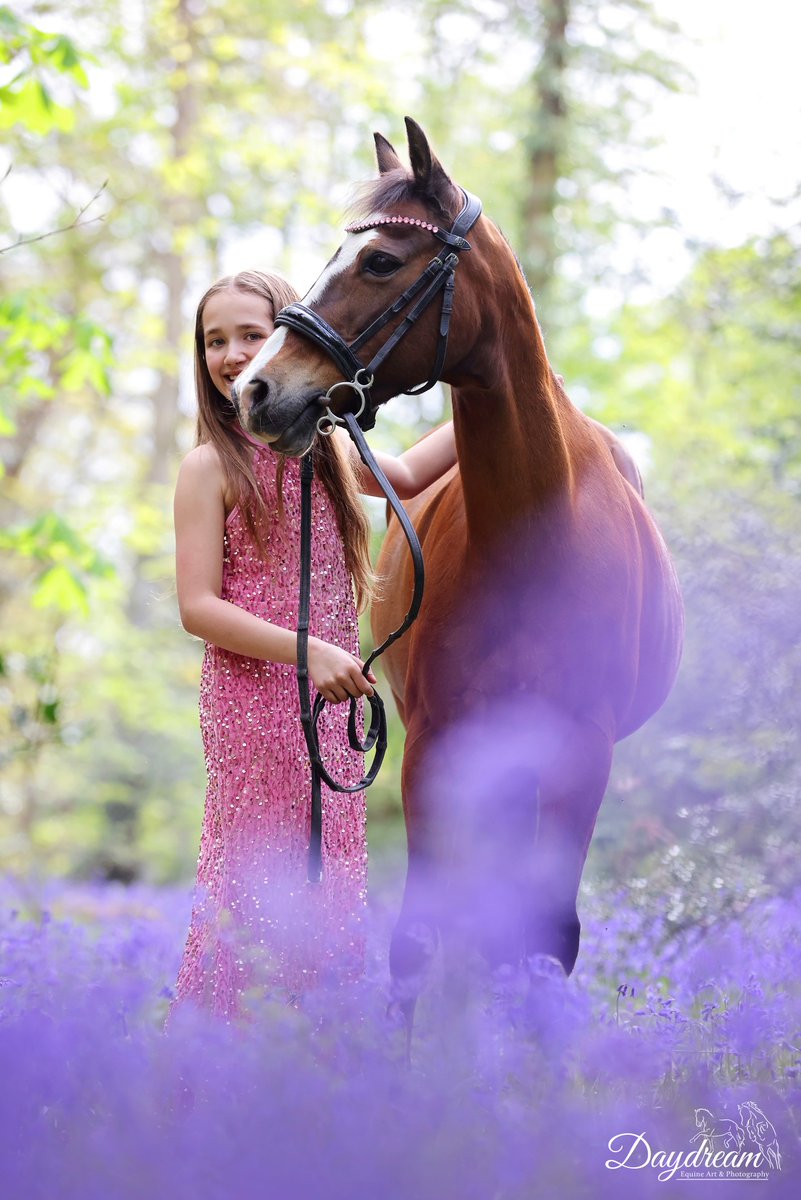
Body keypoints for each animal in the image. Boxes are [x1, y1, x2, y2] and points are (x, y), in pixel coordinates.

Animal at [235, 117, 685, 1022]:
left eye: (379, 261)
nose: (258, 389)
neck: (533, 536)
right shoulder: (434, 743)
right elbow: (418, 942)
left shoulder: (582, 752)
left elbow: (546, 944)